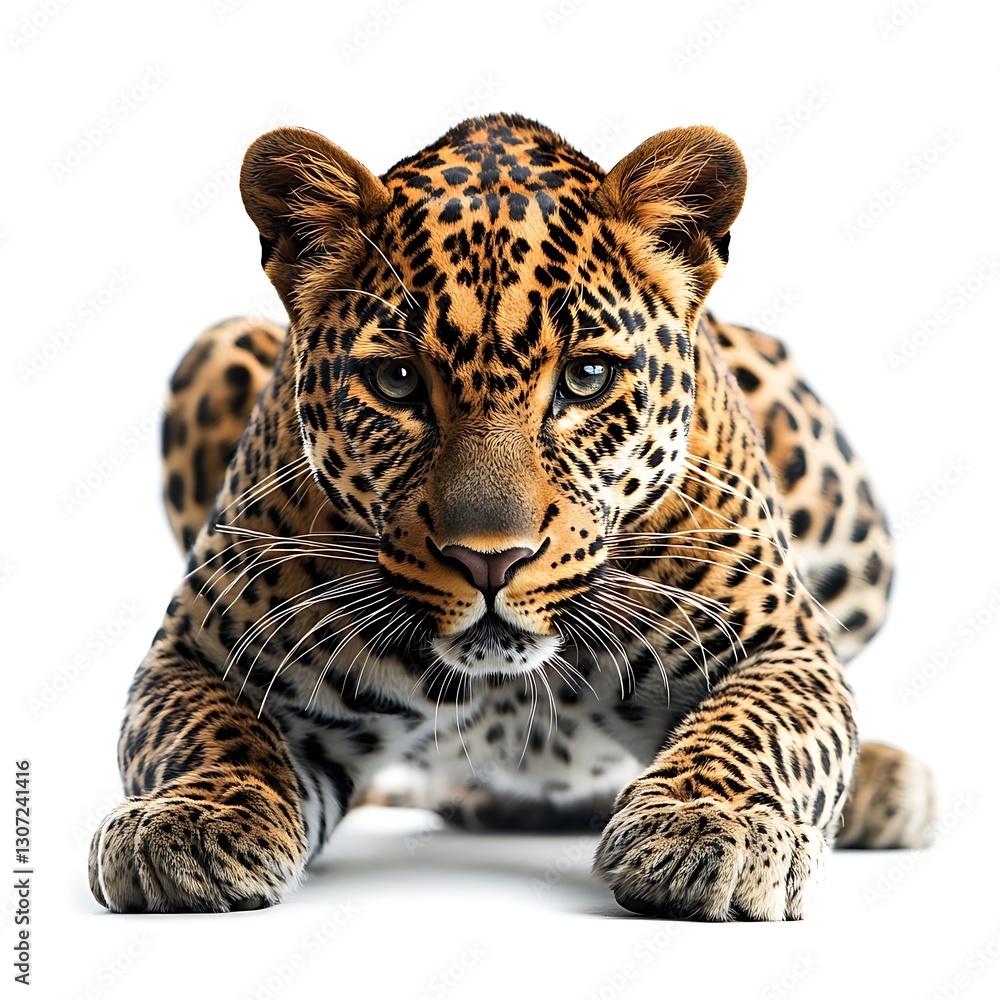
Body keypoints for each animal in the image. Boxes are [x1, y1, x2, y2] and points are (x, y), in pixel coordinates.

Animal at [89, 113, 934, 919]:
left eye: (587, 377)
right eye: (397, 381)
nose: (489, 560)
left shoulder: (781, 644)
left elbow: (760, 727)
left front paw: (706, 825)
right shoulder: (202, 649)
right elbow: (208, 735)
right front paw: (193, 822)